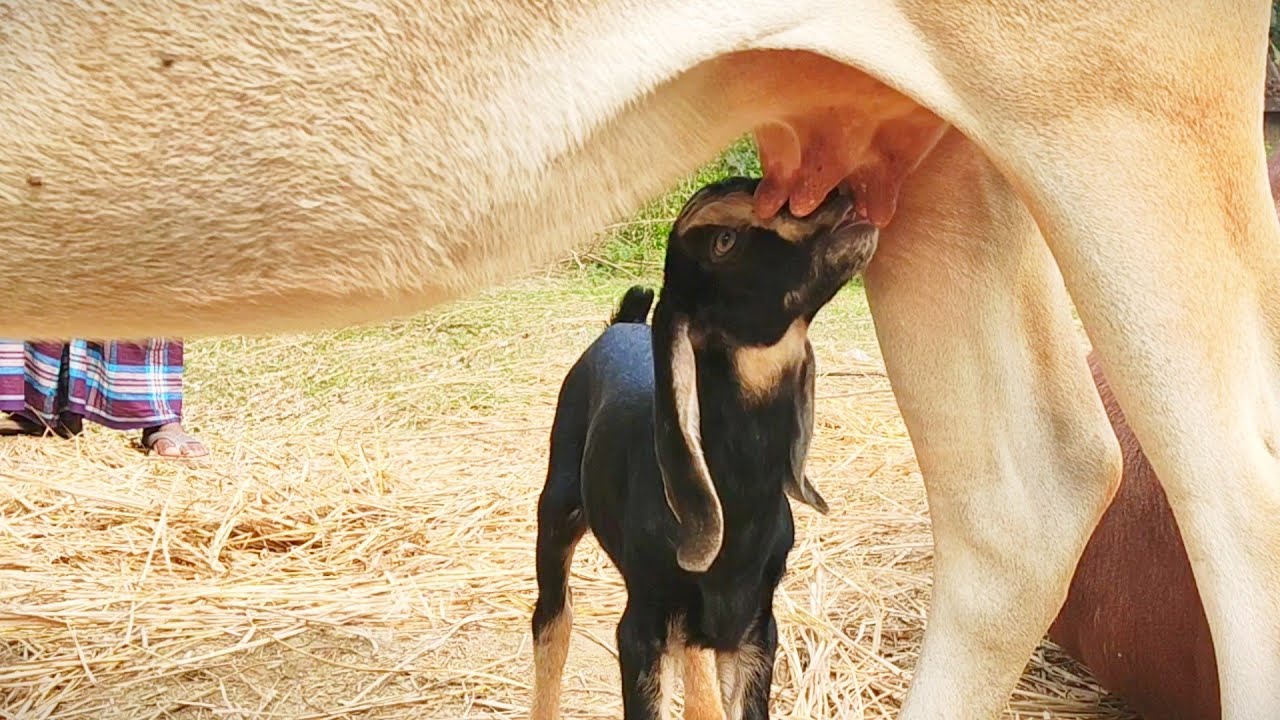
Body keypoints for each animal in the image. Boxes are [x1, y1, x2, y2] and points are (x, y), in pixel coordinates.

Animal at [529, 176, 878, 720]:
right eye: (724, 241)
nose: (839, 193)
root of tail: (622, 323)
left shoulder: (755, 627)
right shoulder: (642, 628)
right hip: (557, 512)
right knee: (551, 622)